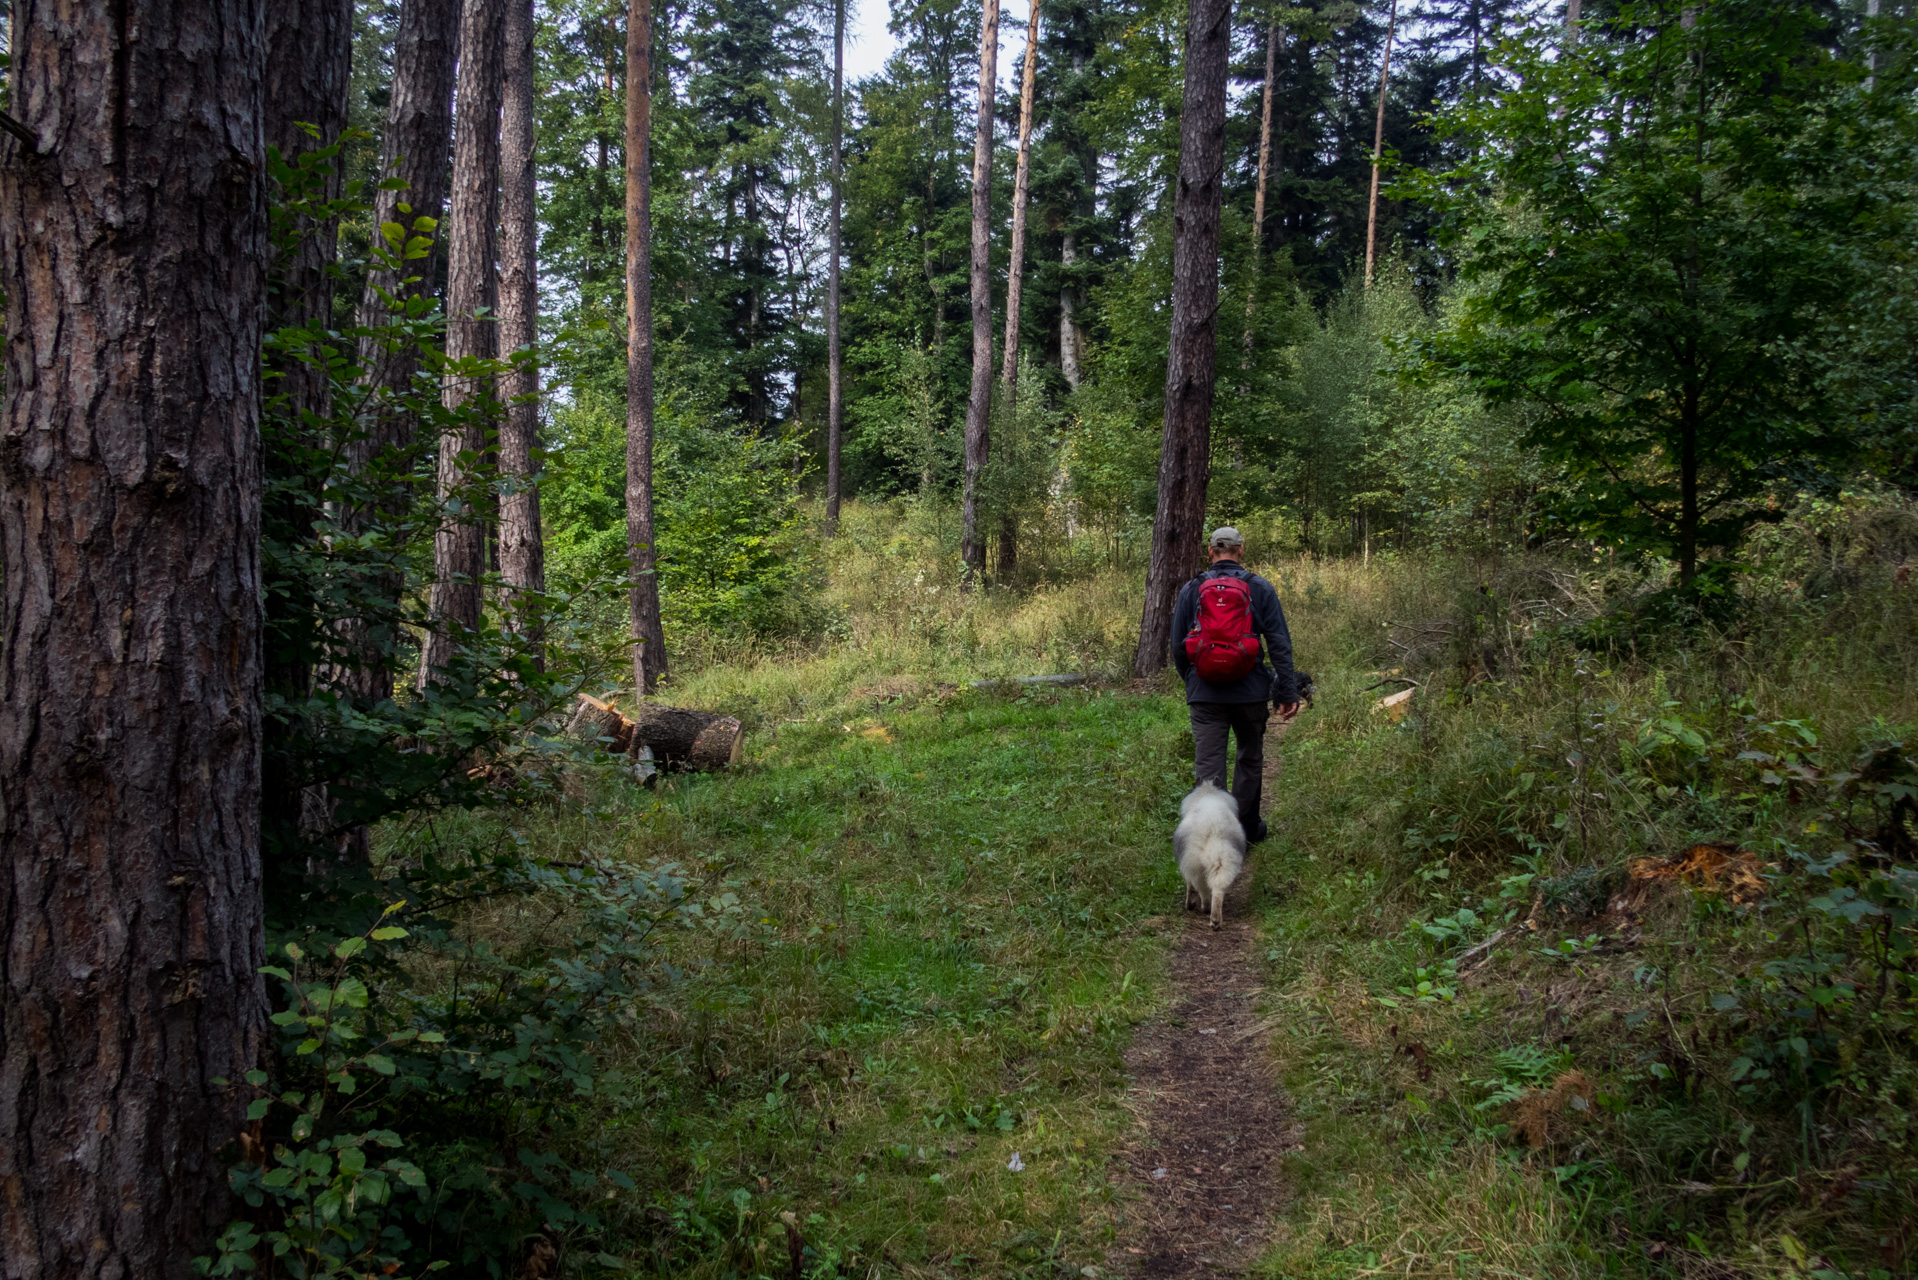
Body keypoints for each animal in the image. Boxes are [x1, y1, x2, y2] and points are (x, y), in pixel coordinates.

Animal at [1166, 782, 1242, 932]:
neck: (1208, 793)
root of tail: (1212, 825)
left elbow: (1189, 886)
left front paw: (1189, 904)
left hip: (1195, 864)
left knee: (1201, 888)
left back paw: (1205, 909)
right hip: (1223, 860)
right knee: (1217, 889)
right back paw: (1216, 920)